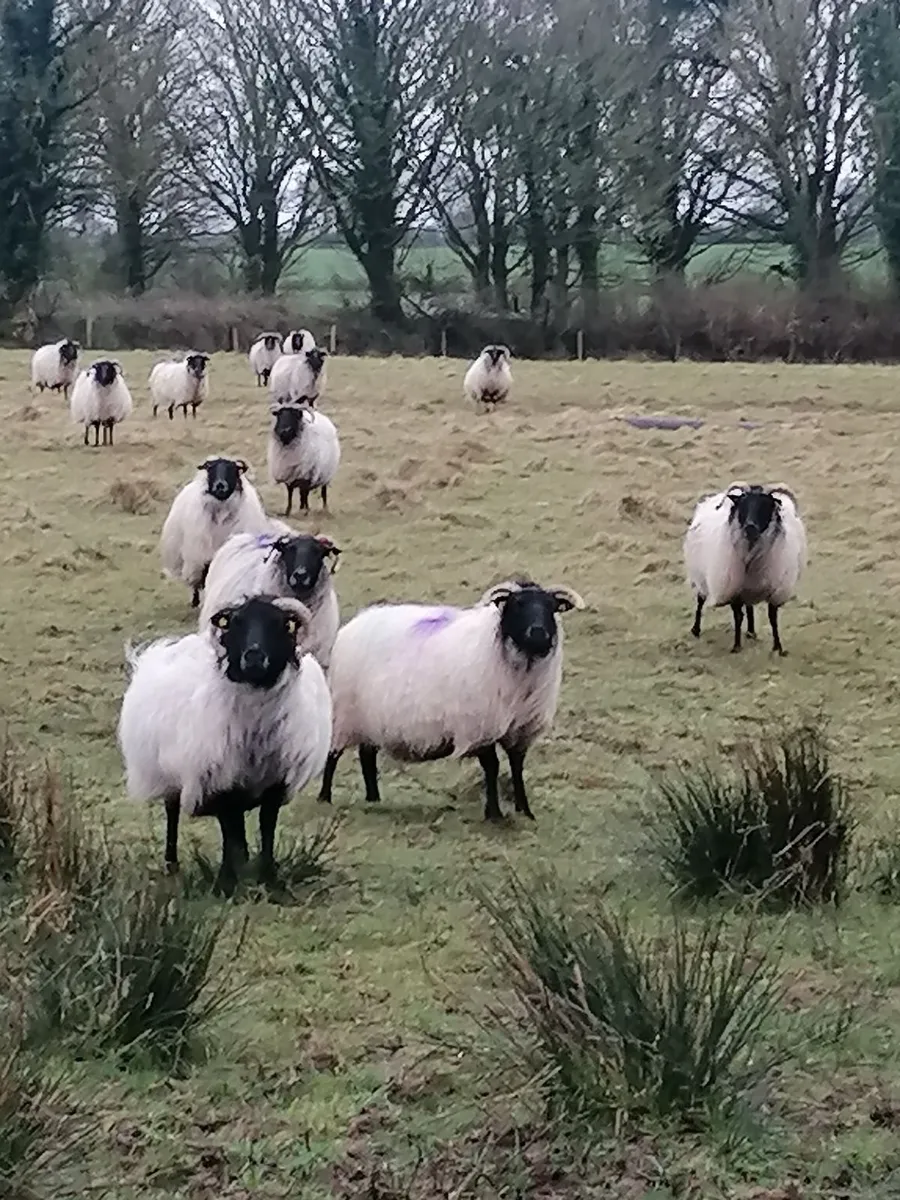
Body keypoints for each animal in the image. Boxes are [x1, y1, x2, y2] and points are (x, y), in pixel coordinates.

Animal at [117, 594, 333, 895]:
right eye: (236, 623)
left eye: (278, 624)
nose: (253, 656)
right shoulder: (219, 780)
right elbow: (229, 830)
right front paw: (226, 882)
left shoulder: (275, 782)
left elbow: (265, 828)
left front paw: (270, 880)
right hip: (169, 774)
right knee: (173, 813)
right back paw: (172, 863)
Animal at [318, 576, 585, 820]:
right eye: (517, 604)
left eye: (552, 607)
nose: (538, 633)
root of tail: (355, 623)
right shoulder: (480, 725)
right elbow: (492, 767)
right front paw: (494, 814)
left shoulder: (521, 729)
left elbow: (517, 767)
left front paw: (525, 812)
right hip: (345, 712)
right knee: (333, 754)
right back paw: (324, 798)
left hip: (370, 718)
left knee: (367, 756)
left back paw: (374, 799)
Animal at [684, 480, 807, 656]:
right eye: (743, 505)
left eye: (766, 505)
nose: (750, 527)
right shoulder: (733, 588)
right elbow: (737, 617)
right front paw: (736, 646)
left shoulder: (775, 590)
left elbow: (773, 618)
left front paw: (778, 647)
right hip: (700, 574)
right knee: (700, 600)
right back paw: (696, 629)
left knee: (749, 607)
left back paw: (751, 632)